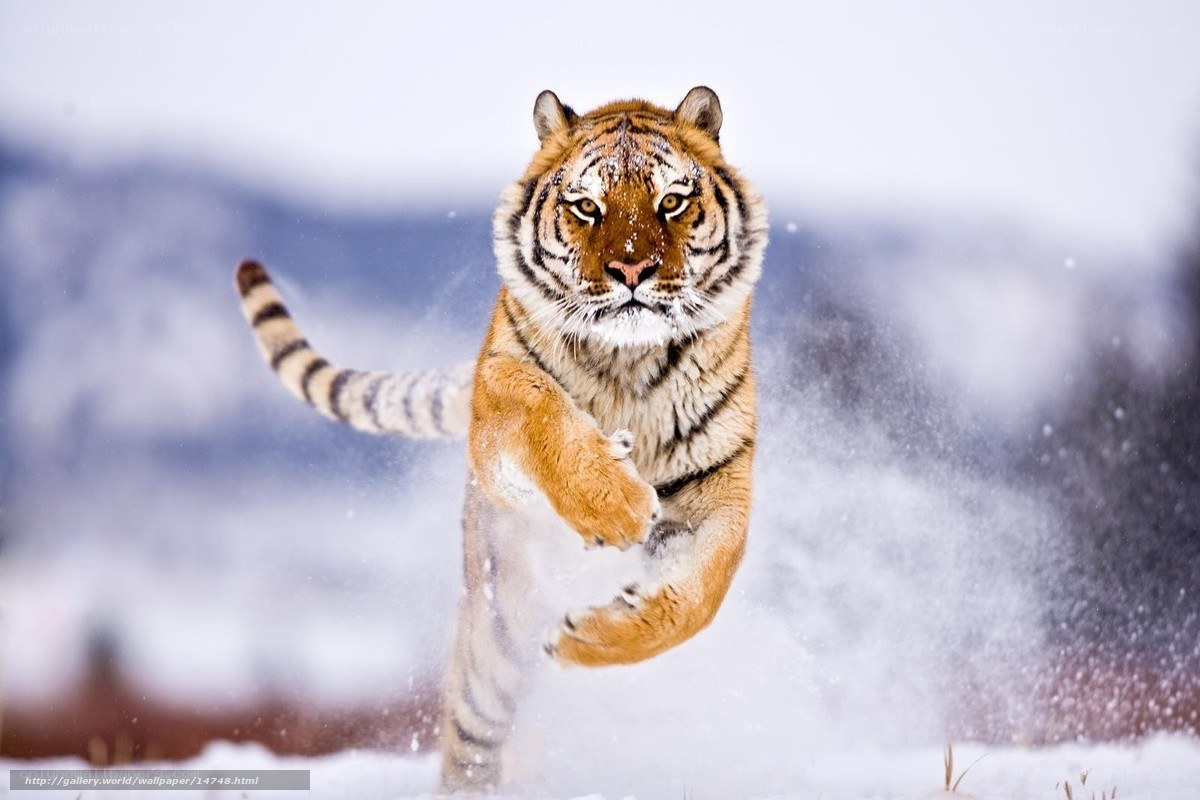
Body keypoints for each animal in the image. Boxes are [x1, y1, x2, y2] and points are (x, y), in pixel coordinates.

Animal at [234, 86, 767, 791]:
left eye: (672, 202)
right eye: (587, 206)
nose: (631, 269)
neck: (628, 363)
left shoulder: (719, 486)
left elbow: (699, 597)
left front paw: (587, 638)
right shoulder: (497, 404)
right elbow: (538, 404)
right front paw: (617, 505)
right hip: (493, 640)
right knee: (470, 738)